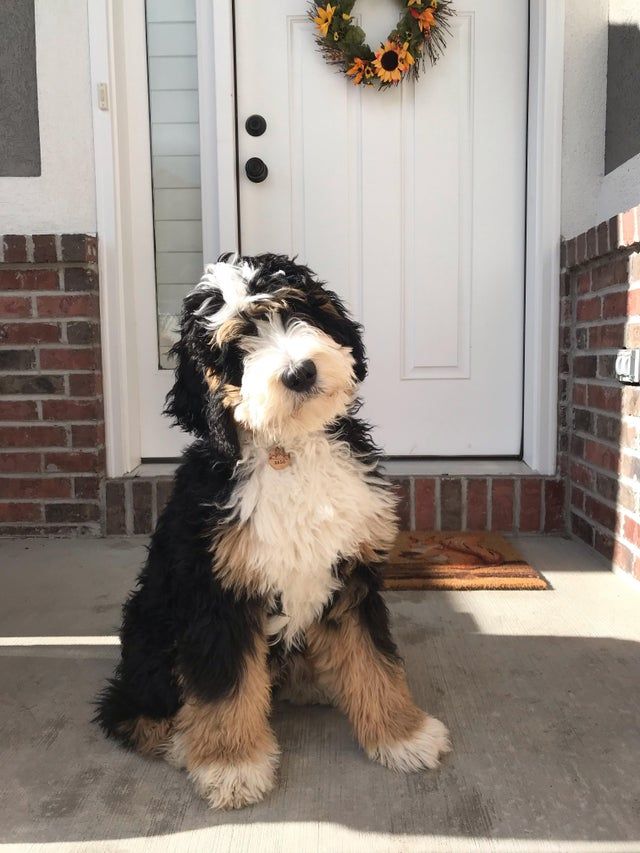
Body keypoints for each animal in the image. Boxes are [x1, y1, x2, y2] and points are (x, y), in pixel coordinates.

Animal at [96, 253, 450, 804]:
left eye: (294, 311)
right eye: (236, 347)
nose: (300, 372)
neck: (290, 449)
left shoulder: (350, 574)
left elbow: (374, 661)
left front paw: (401, 734)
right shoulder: (218, 592)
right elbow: (225, 687)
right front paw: (232, 765)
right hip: (152, 635)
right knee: (130, 713)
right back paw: (183, 740)